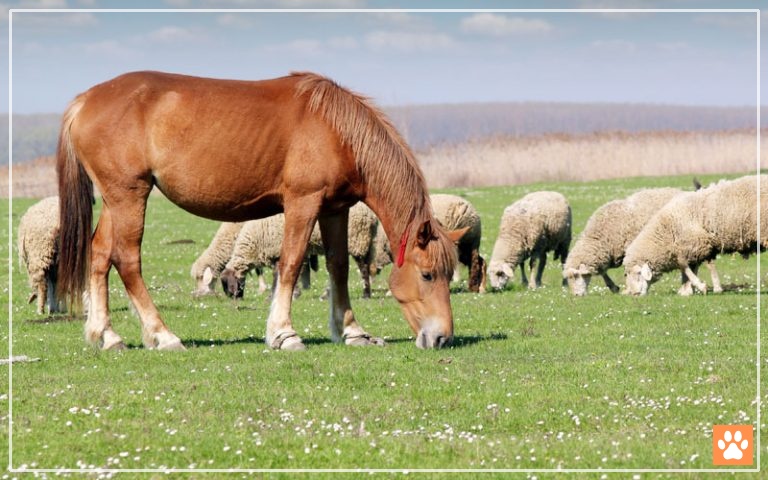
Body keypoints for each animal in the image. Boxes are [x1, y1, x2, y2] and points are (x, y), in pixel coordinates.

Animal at [56, 71, 467, 351]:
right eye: (428, 274)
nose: (443, 338)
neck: (336, 130)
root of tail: (85, 100)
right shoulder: (303, 203)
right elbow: (291, 262)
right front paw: (284, 333)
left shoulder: (335, 209)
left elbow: (337, 267)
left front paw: (352, 331)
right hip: (130, 197)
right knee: (126, 260)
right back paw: (163, 335)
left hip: (117, 200)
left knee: (99, 254)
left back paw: (107, 336)